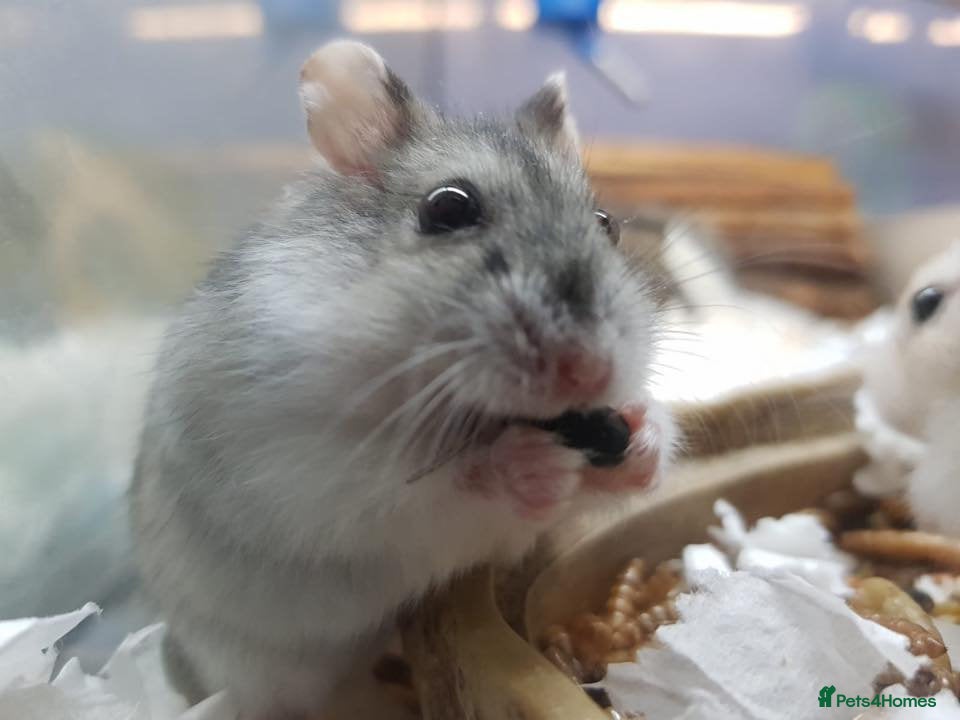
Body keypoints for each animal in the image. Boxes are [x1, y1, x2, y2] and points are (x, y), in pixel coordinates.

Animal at [130, 39, 675, 718]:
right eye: (448, 208)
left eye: (607, 224)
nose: (589, 372)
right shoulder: (316, 472)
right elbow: (434, 484)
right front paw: (531, 463)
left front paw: (643, 436)